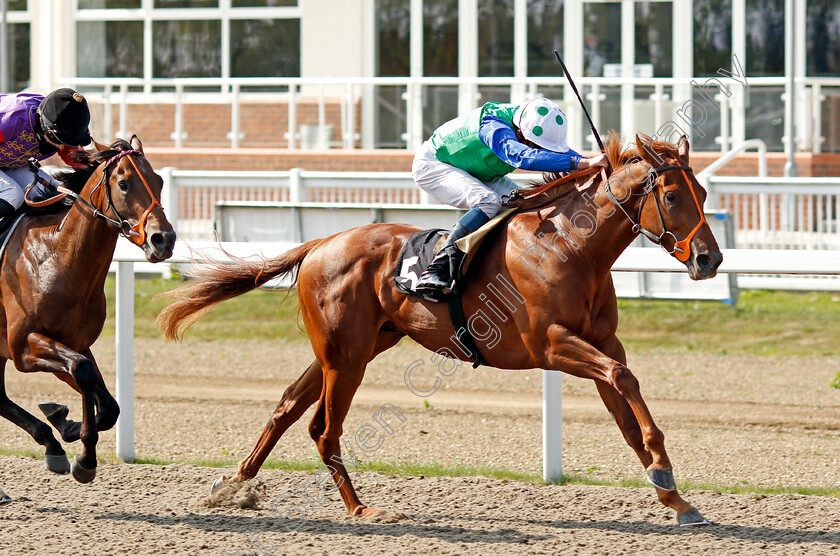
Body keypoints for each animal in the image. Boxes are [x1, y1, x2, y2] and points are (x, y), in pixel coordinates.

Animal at [0, 137, 175, 494]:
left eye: (160, 182)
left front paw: (67, 428)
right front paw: (78, 450)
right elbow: (82, 372)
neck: (59, 257)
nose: (163, 239)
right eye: (124, 184)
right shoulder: (21, 346)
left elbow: (105, 402)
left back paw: (50, 442)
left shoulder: (77, 341)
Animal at [158, 135, 720, 524]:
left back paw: (234, 486)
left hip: (352, 348)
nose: (709, 259)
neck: (570, 247)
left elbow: (624, 408)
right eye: (672, 196)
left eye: (703, 190)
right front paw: (663, 469)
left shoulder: (602, 342)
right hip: (347, 358)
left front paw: (673, 495)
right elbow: (624, 380)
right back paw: (360, 509)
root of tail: (321, 243)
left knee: (288, 406)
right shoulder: (553, 345)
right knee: (323, 427)